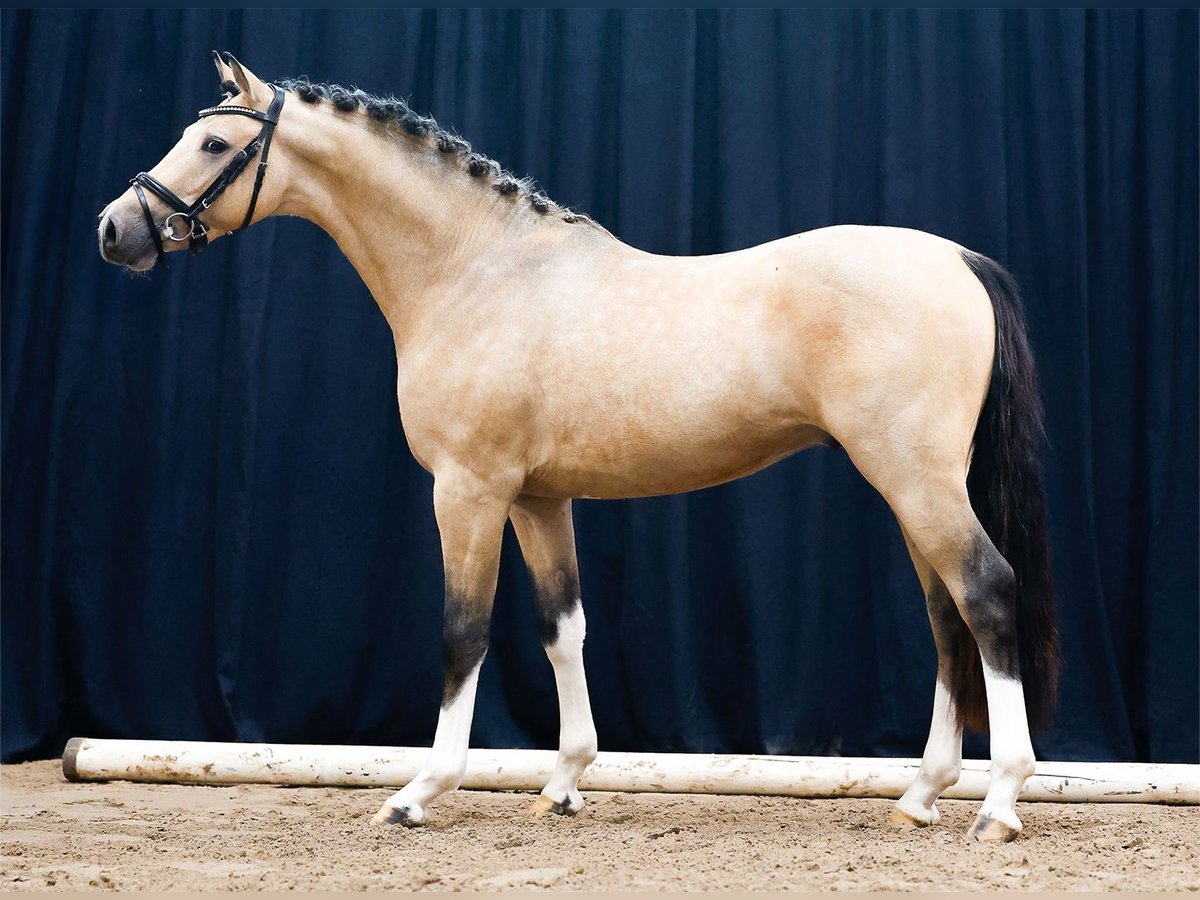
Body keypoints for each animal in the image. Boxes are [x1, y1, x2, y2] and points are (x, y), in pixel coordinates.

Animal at [100, 54, 1060, 844]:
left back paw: (1001, 803)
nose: (115, 228)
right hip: (913, 487)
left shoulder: (469, 491)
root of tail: (961, 261)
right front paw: (562, 783)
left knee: (986, 594)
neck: (479, 272)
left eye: (212, 141)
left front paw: (419, 793)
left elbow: (462, 632)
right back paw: (922, 795)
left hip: (915, 479)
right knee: (946, 617)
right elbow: (564, 629)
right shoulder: (538, 498)